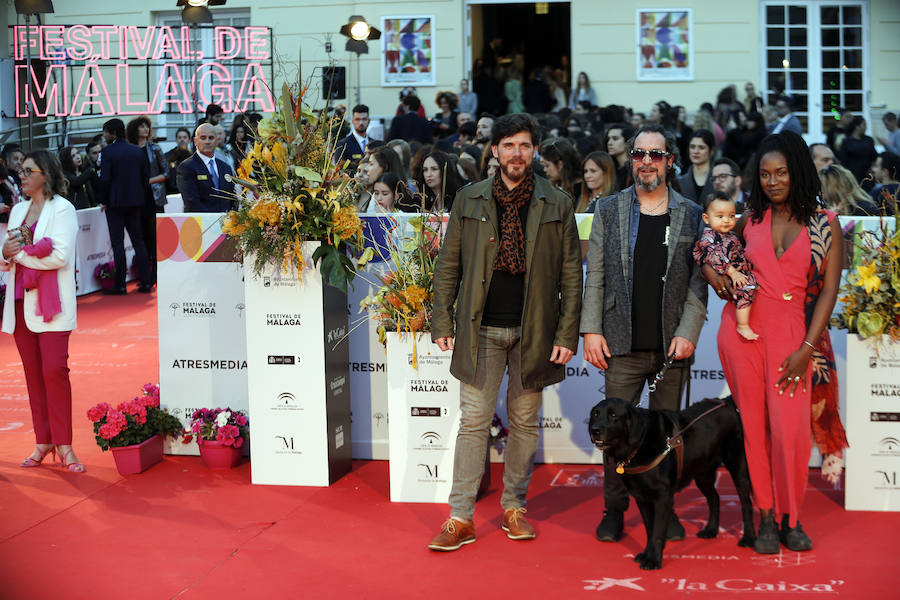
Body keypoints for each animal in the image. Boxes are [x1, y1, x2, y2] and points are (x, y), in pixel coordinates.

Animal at [592, 396, 752, 568]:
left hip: (738, 467)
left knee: (746, 503)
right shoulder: (642, 497)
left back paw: (748, 538)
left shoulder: (663, 498)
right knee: (715, 498)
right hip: (702, 474)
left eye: (613, 415)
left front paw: (653, 560)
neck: (639, 445)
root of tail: (726, 401)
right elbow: (650, 529)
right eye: (595, 414)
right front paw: (647, 554)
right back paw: (711, 530)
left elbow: (657, 531)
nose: (594, 430)